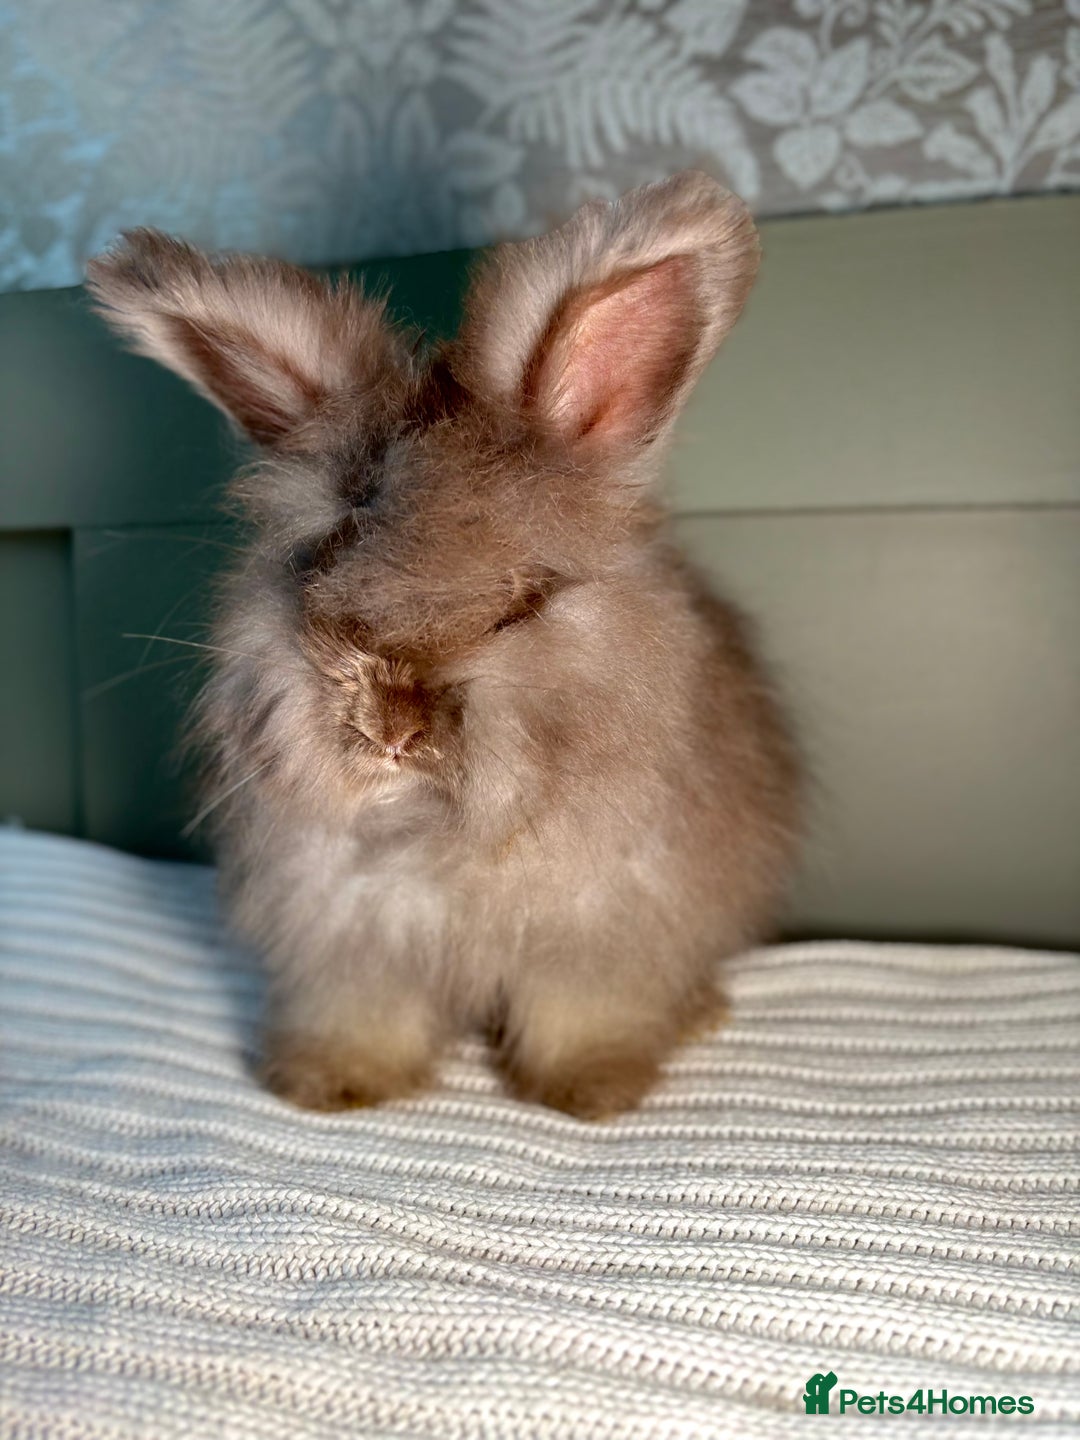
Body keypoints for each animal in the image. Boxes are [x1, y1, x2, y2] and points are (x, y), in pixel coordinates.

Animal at [87, 171, 801, 1120]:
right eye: (312, 574)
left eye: (521, 604)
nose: (391, 725)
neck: (433, 830)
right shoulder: (348, 941)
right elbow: (364, 1018)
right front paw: (332, 1087)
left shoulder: (600, 937)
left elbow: (583, 1016)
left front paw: (589, 1091)